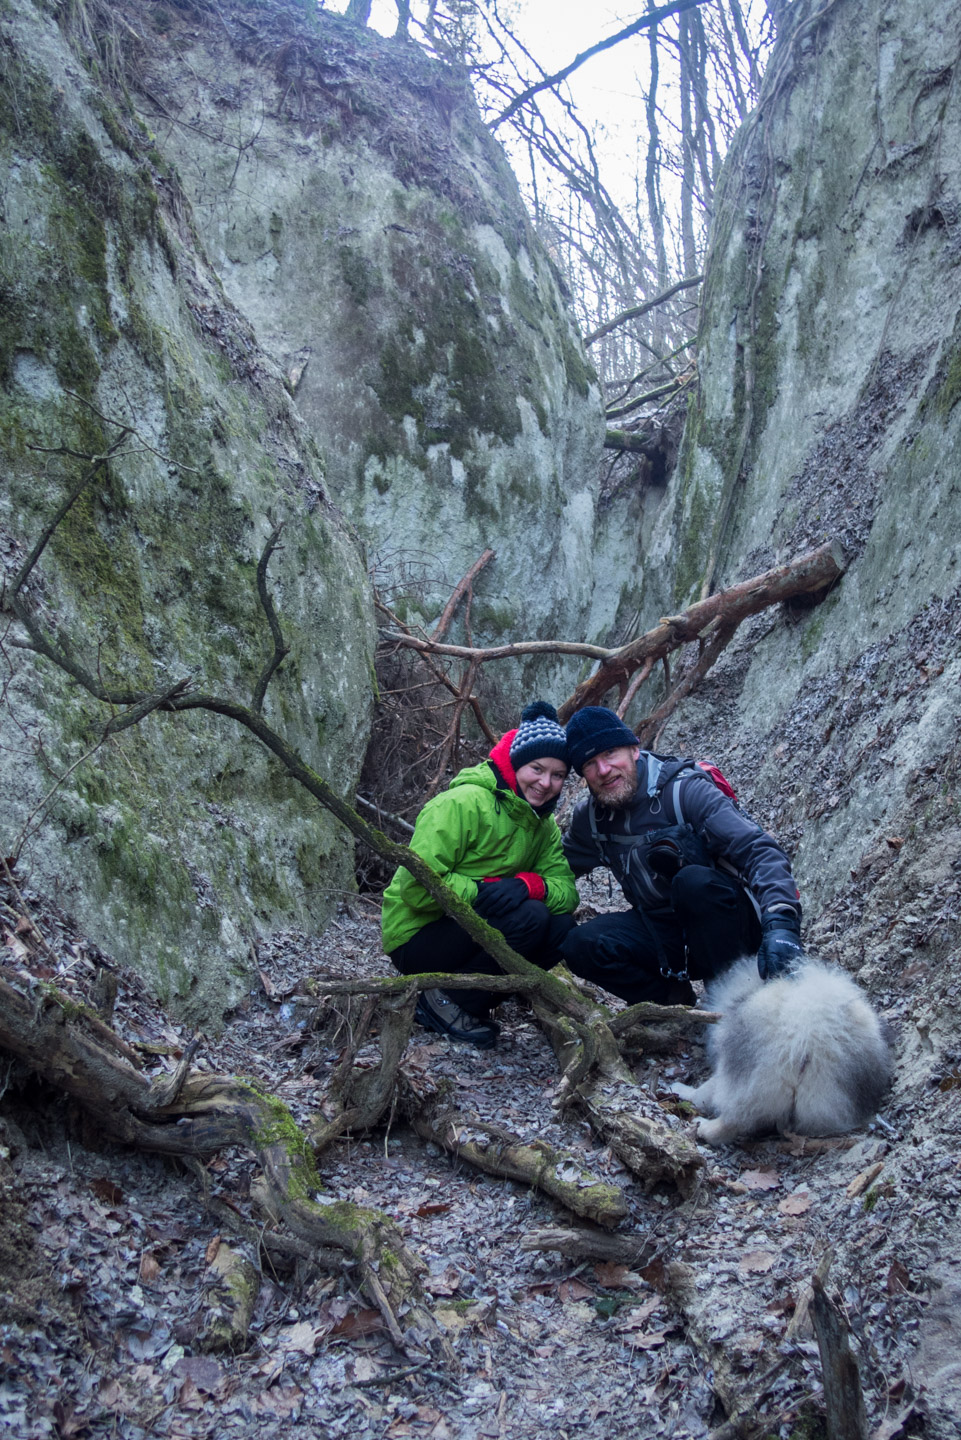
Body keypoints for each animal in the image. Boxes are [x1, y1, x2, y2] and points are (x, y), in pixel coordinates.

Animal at [677, 956, 893, 1146]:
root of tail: (810, 1039)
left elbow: (702, 1092)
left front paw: (682, 1089)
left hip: (750, 1086)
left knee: (732, 1121)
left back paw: (703, 1126)